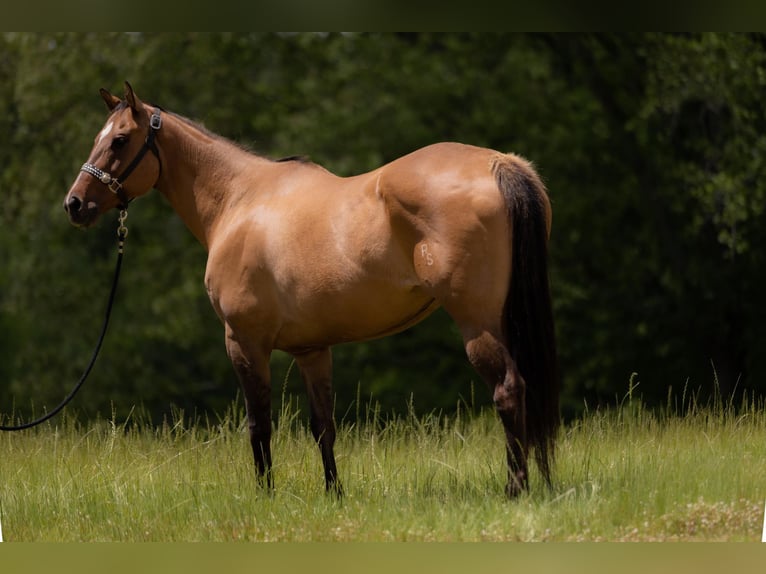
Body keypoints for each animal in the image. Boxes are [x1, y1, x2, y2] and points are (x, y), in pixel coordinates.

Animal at [64, 82, 560, 500]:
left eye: (120, 140)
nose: (75, 204)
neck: (238, 200)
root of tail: (498, 163)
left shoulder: (244, 341)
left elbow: (258, 425)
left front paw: (265, 497)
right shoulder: (312, 350)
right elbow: (323, 425)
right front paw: (333, 495)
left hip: (477, 322)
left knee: (508, 389)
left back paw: (515, 489)